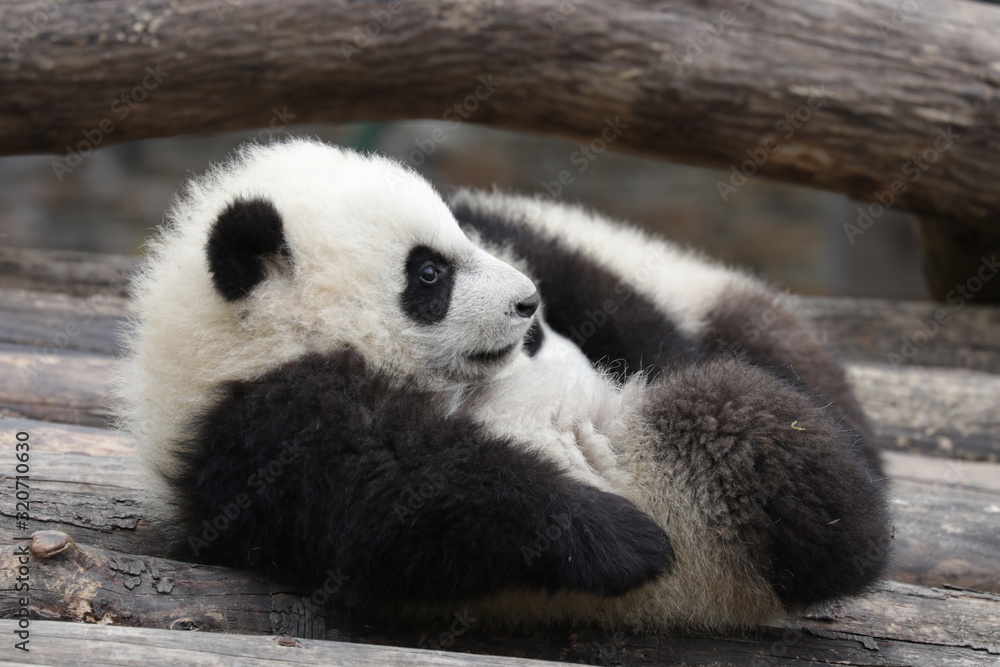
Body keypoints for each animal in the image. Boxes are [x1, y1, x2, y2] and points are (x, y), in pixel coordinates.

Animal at [114, 138, 891, 632]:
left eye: (455, 245)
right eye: (429, 273)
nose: (527, 304)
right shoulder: (253, 432)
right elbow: (399, 494)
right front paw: (622, 537)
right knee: (759, 433)